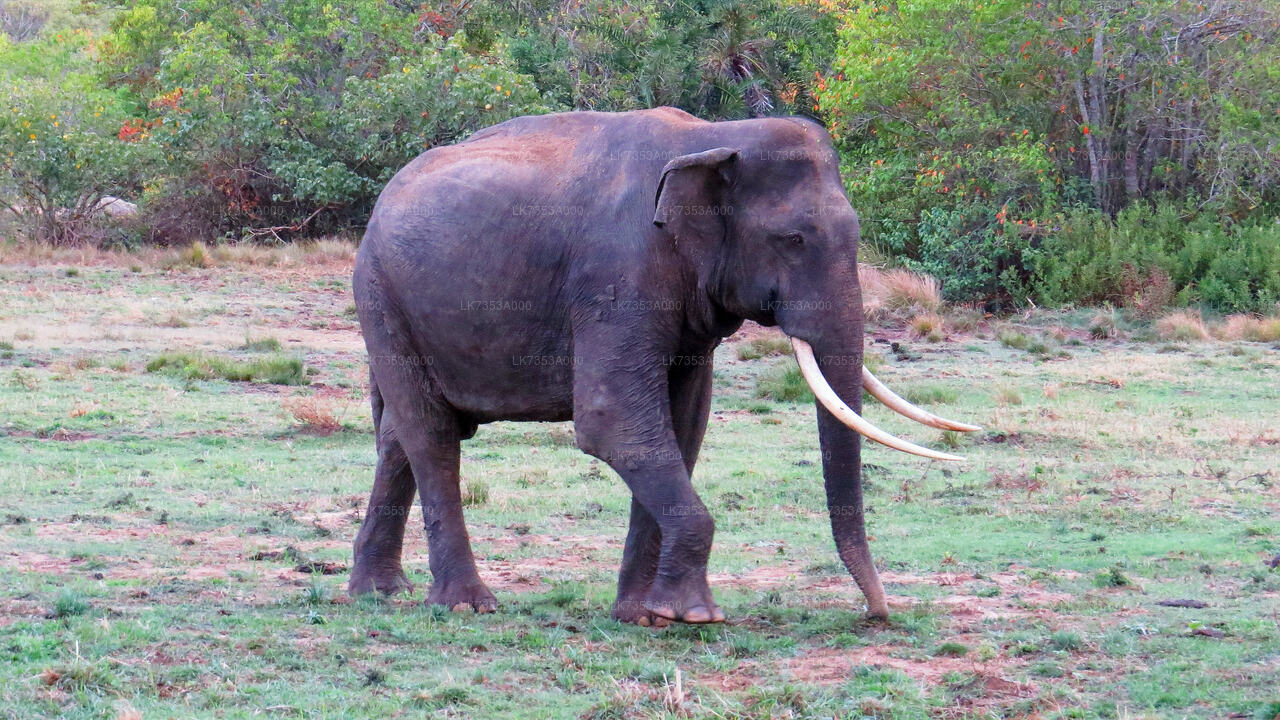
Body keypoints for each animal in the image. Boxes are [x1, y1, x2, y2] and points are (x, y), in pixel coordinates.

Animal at [345, 106, 972, 622]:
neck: (712, 137)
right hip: (380, 294)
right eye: (792, 239)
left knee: (399, 436)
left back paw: (380, 593)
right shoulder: (617, 276)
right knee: (430, 434)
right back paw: (466, 605)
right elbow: (612, 421)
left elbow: (683, 424)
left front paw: (646, 616)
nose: (877, 613)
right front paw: (695, 617)